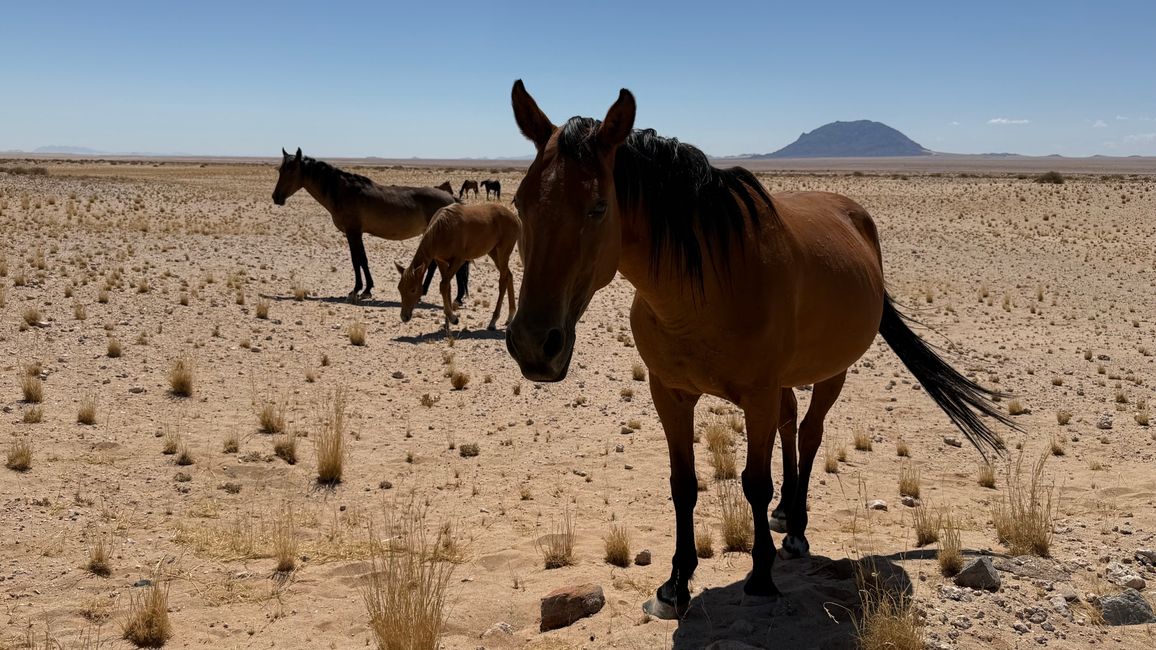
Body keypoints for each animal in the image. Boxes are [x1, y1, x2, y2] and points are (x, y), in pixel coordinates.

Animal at [271, 148, 468, 303]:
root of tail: (451, 199)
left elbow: (358, 259)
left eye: (292, 170)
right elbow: (361, 259)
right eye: (280, 170)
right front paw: (367, 289)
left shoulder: (353, 232)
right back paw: (434, 293)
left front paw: (357, 290)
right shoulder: (356, 233)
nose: (276, 197)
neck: (343, 192)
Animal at [395, 202, 519, 334]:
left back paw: (493, 321)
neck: (443, 228)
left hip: (503, 252)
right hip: (494, 253)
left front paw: (452, 318)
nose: (404, 317)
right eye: (399, 289)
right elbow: (447, 287)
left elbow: (443, 285)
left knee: (503, 281)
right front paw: (446, 324)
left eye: (413, 290)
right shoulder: (441, 261)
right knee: (509, 275)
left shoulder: (458, 261)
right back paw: (510, 316)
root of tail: (515, 218)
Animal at [505, 81, 1014, 619]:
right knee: (790, 424)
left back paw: (796, 531)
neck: (699, 290)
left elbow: (754, 481)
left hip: (831, 372)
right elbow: (683, 485)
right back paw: (786, 514)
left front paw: (761, 574)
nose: (534, 344)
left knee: (809, 434)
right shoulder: (670, 395)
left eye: (599, 207)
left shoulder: (756, 397)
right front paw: (675, 584)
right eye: (519, 203)